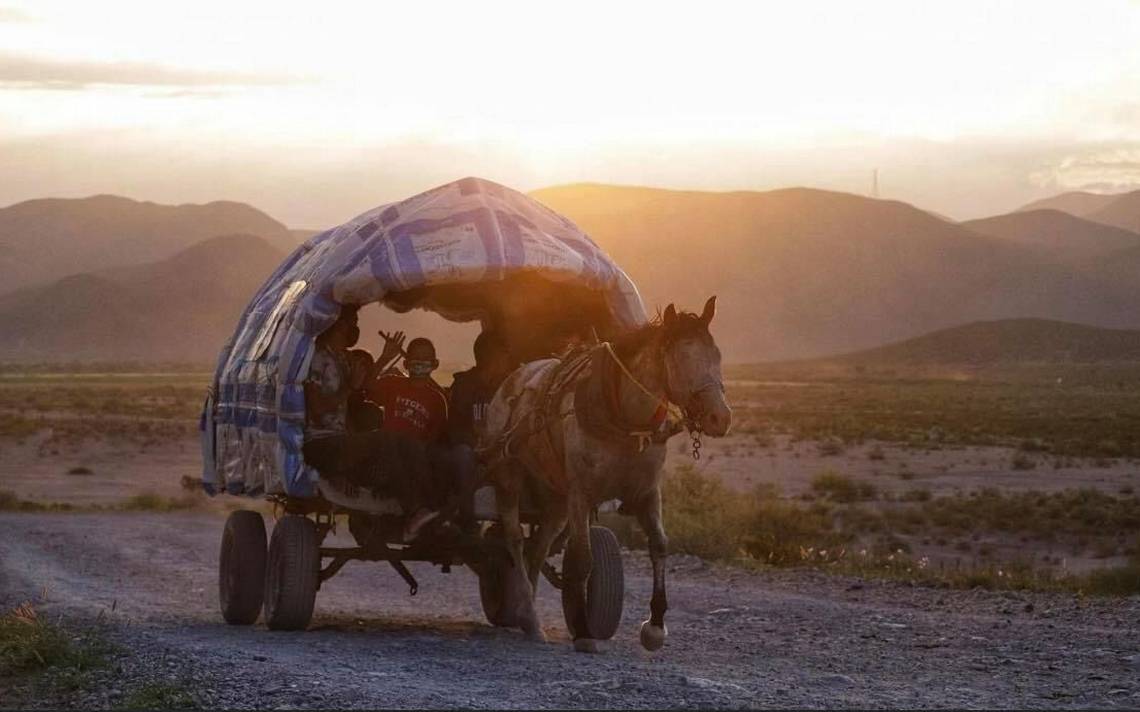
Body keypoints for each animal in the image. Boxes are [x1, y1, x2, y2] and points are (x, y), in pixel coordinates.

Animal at [478, 293, 729, 651]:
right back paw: (528, 609)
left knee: (537, 549)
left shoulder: (646, 493)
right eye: (683, 358)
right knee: (514, 541)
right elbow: (582, 558)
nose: (720, 418)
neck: (622, 416)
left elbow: (659, 545)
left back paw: (529, 618)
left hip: (555, 499)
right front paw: (583, 630)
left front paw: (654, 626)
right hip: (510, 478)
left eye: (716, 354)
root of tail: (512, 381)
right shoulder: (582, 494)